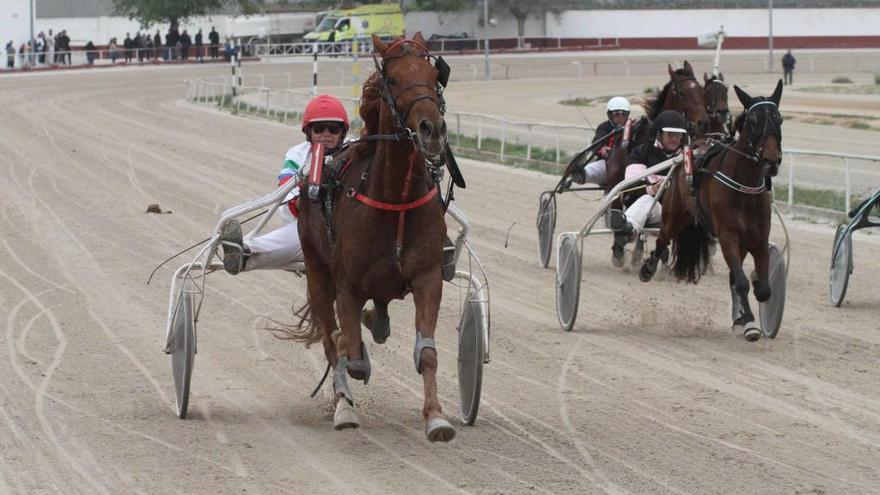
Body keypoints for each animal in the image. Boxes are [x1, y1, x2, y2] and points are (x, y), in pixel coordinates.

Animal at [298, 34, 458, 442]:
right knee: (331, 340)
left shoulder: (428, 276)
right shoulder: (346, 284)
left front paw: (436, 418)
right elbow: (350, 354)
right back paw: (343, 407)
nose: (432, 130)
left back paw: (377, 322)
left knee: (376, 312)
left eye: (435, 76)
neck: (394, 198)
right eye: (393, 79)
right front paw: (348, 397)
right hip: (317, 271)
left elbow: (427, 353)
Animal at [640, 82, 784, 344]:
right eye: (753, 121)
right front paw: (750, 323)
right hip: (674, 215)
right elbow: (742, 282)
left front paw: (746, 318)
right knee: (662, 240)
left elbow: (762, 289)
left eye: (779, 118)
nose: (771, 161)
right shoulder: (728, 236)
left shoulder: (758, 239)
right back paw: (647, 268)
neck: (744, 187)